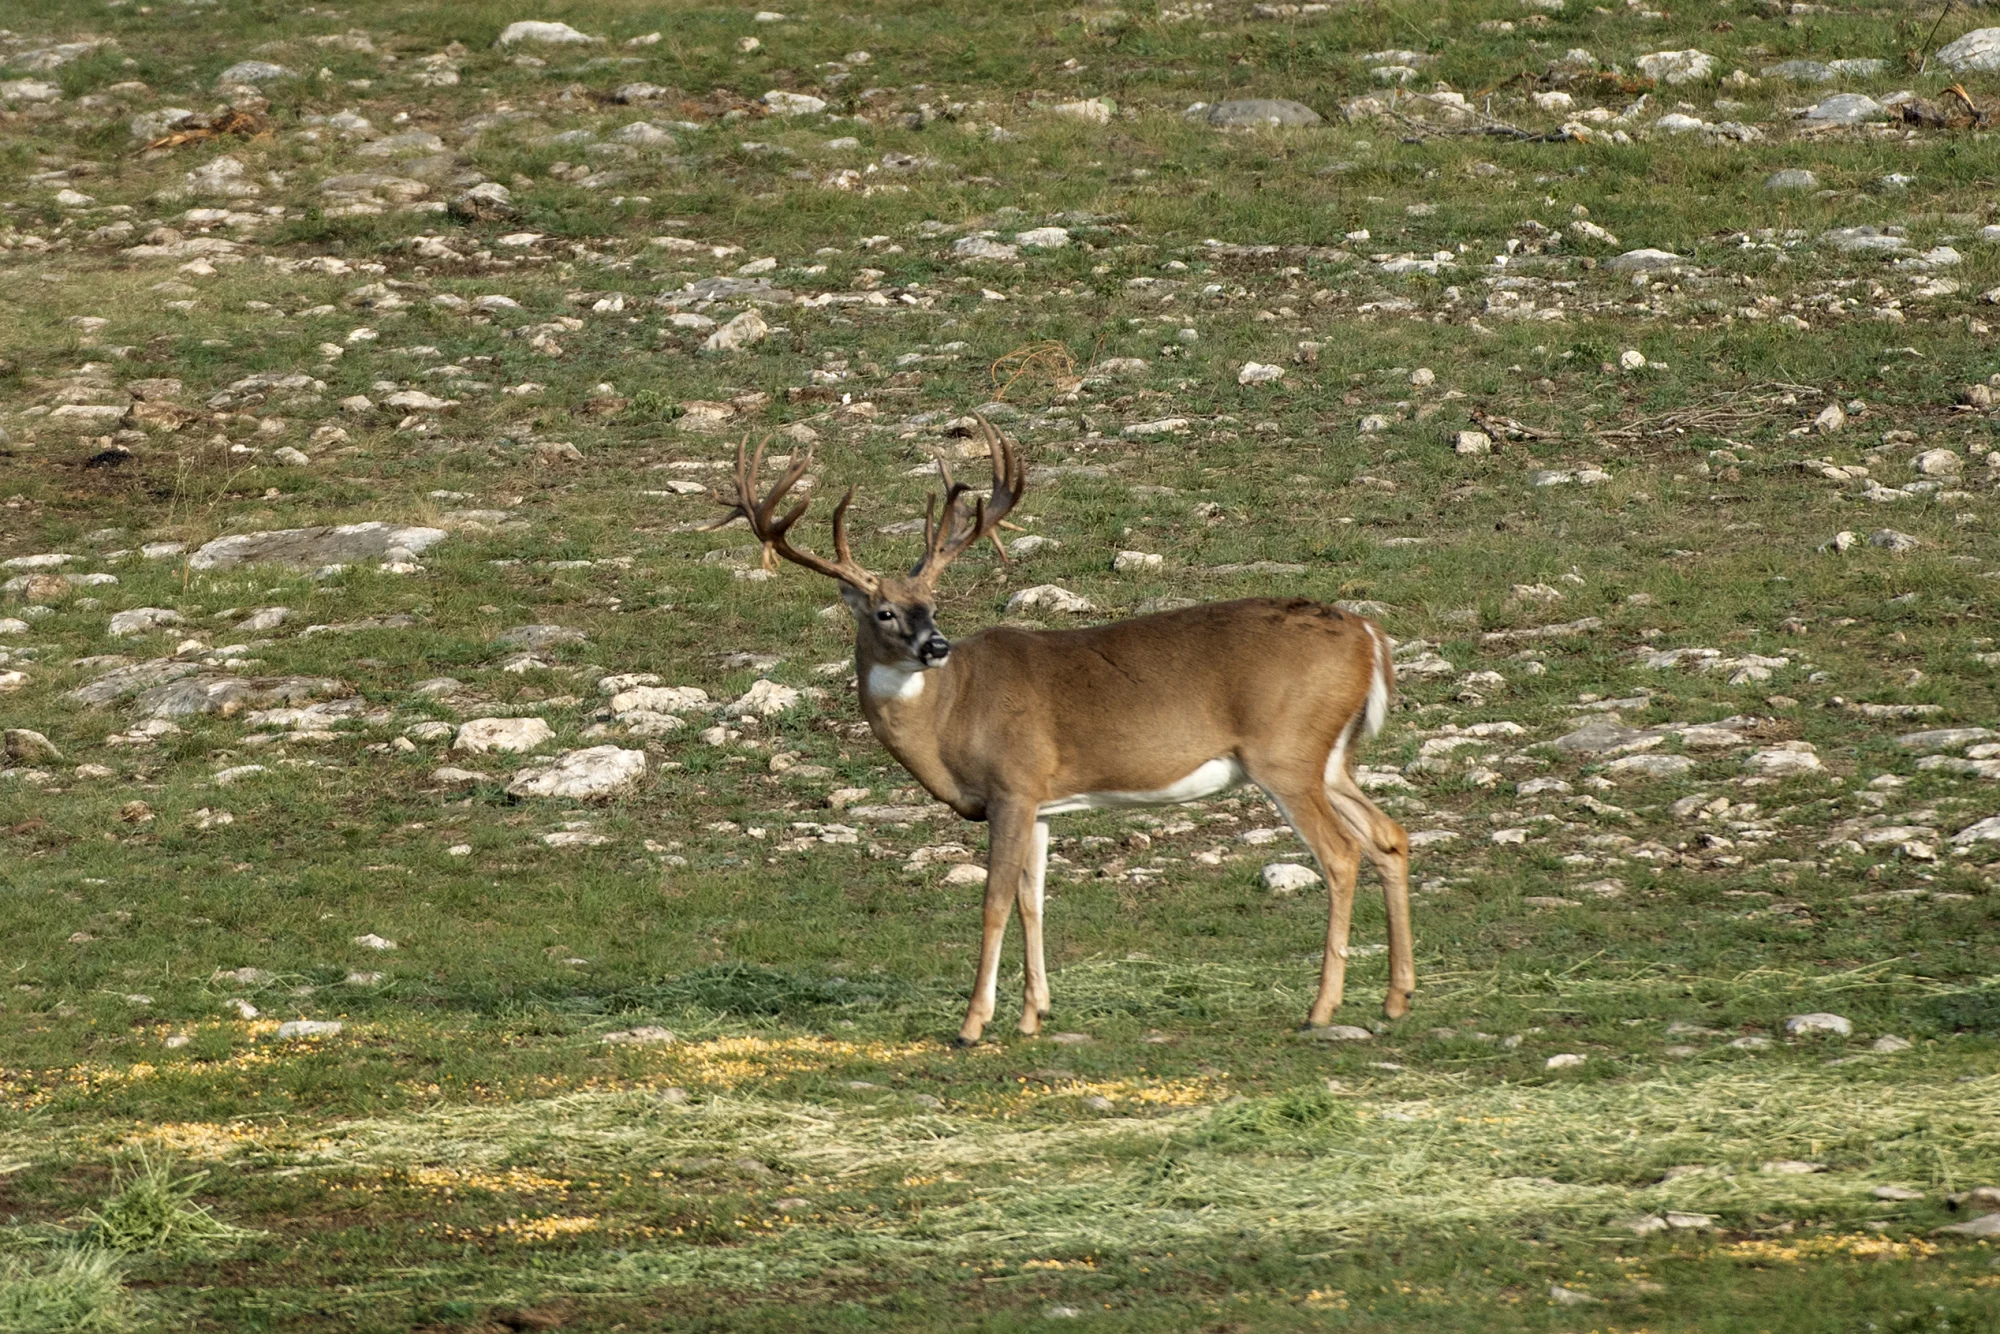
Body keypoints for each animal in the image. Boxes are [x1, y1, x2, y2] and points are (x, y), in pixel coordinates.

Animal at [712, 420, 1416, 1040]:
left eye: (932, 606)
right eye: (885, 611)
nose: (936, 646)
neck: (952, 715)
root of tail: (1368, 635)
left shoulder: (1013, 783)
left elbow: (996, 900)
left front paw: (973, 1025)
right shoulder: (1043, 802)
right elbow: (1035, 901)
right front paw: (1034, 1015)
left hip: (1285, 753)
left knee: (1341, 855)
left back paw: (1321, 1010)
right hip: (1331, 757)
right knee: (1389, 836)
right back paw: (1395, 999)